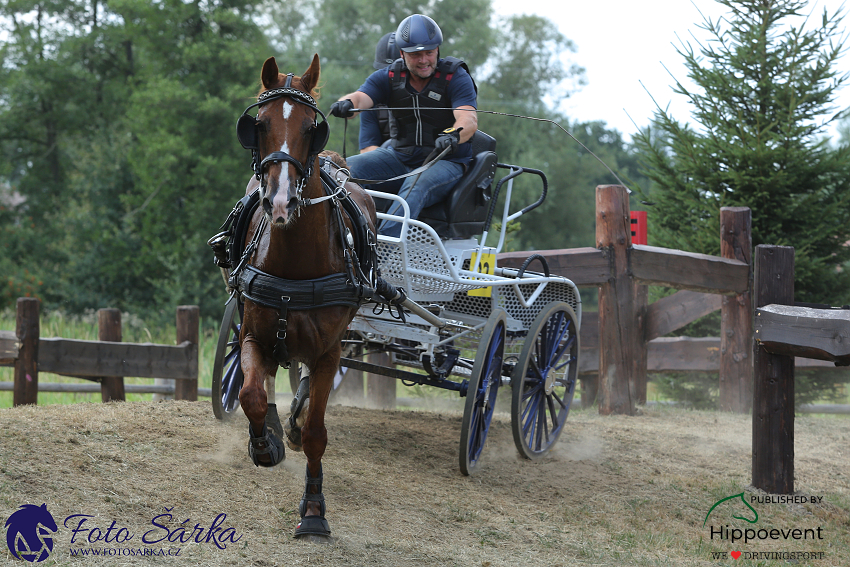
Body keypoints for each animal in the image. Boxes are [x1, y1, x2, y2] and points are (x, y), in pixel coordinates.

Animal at [234, 56, 376, 540]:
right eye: (257, 125)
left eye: (313, 128)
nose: (279, 202)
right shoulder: (252, 335)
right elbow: (251, 395)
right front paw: (265, 445)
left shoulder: (330, 351)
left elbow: (316, 430)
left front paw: (314, 510)